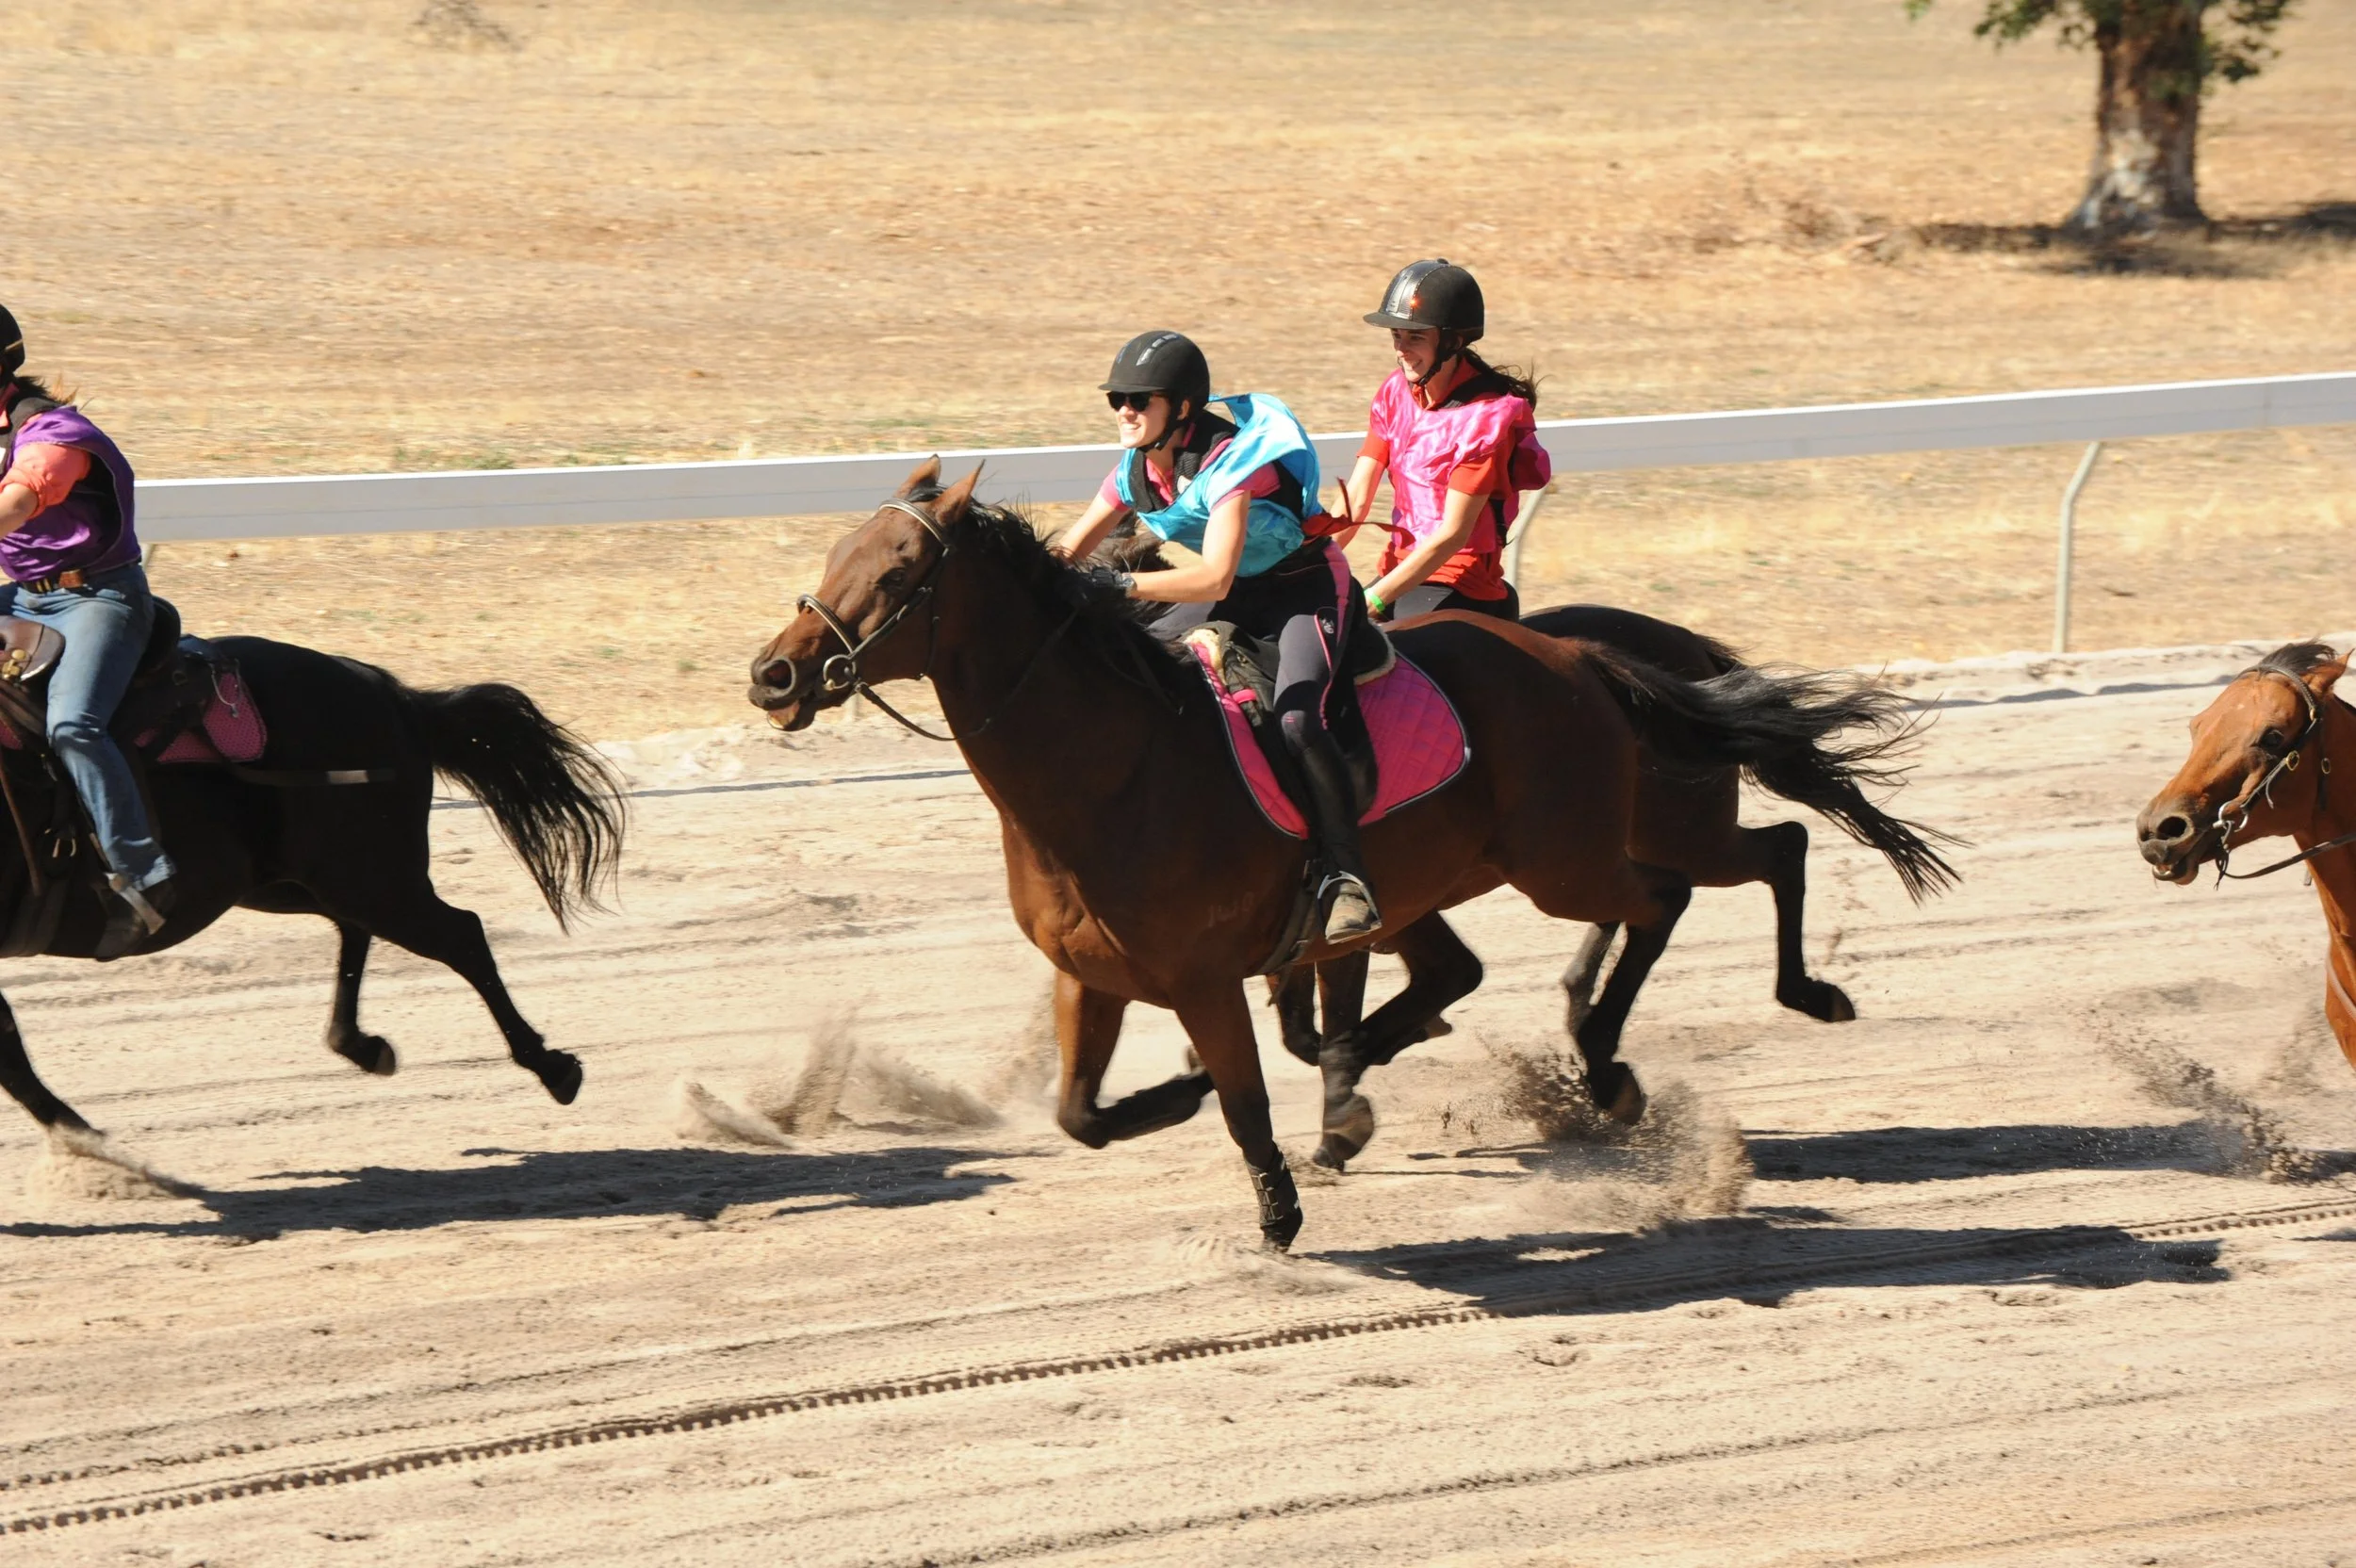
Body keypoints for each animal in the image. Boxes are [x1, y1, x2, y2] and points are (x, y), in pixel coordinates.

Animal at [0, 635, 626, 1148]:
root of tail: (389, 692)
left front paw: (98, 1154)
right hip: (298, 879)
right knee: (362, 930)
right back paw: (362, 1044)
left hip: (367, 875)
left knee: (461, 934)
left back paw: (552, 1067)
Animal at [1266, 605, 1957, 1077]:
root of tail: (1683, 644)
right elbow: (1301, 1011)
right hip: (1614, 840)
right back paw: (1583, 1004)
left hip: (1676, 832)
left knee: (1779, 848)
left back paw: (1805, 992)